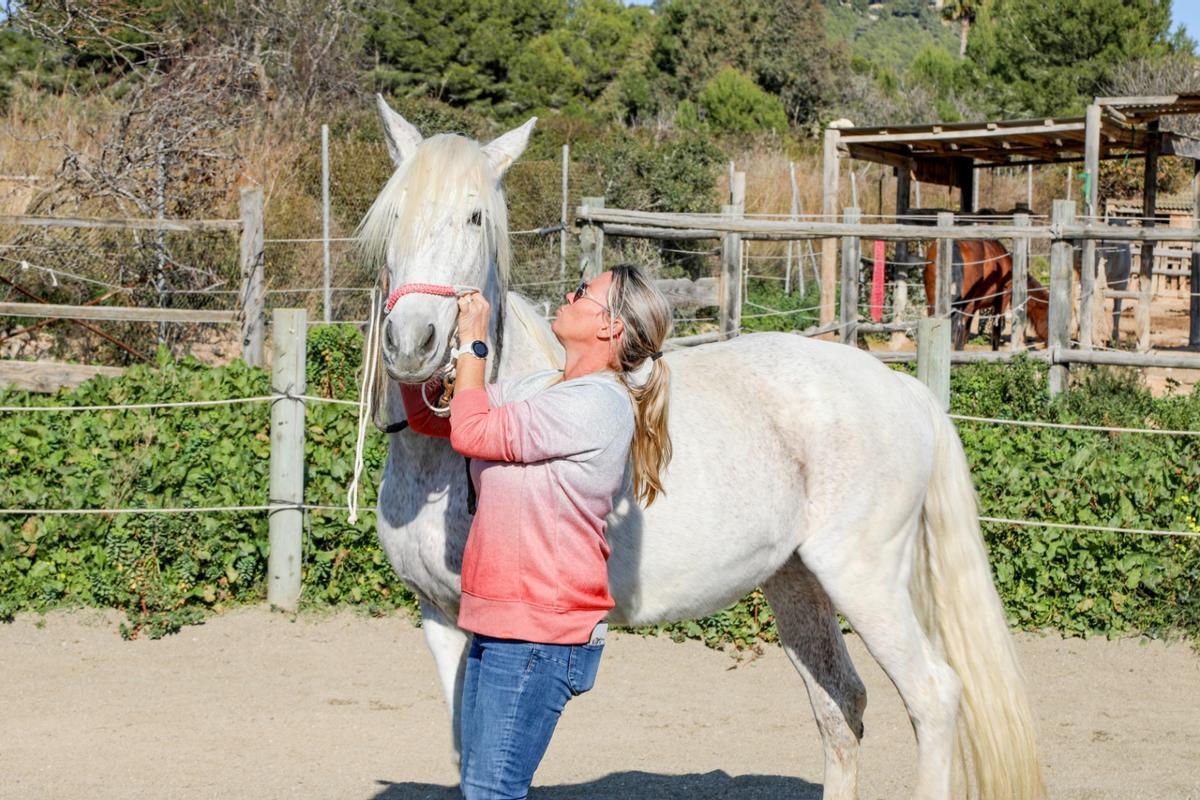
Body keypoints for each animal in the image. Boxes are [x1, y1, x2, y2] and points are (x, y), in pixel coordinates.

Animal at [362, 95, 1041, 800]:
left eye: (475, 217)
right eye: (392, 213)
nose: (413, 341)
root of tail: (906, 391)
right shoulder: (442, 621)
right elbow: (465, 754)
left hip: (867, 580)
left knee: (933, 697)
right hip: (798, 583)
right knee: (841, 706)